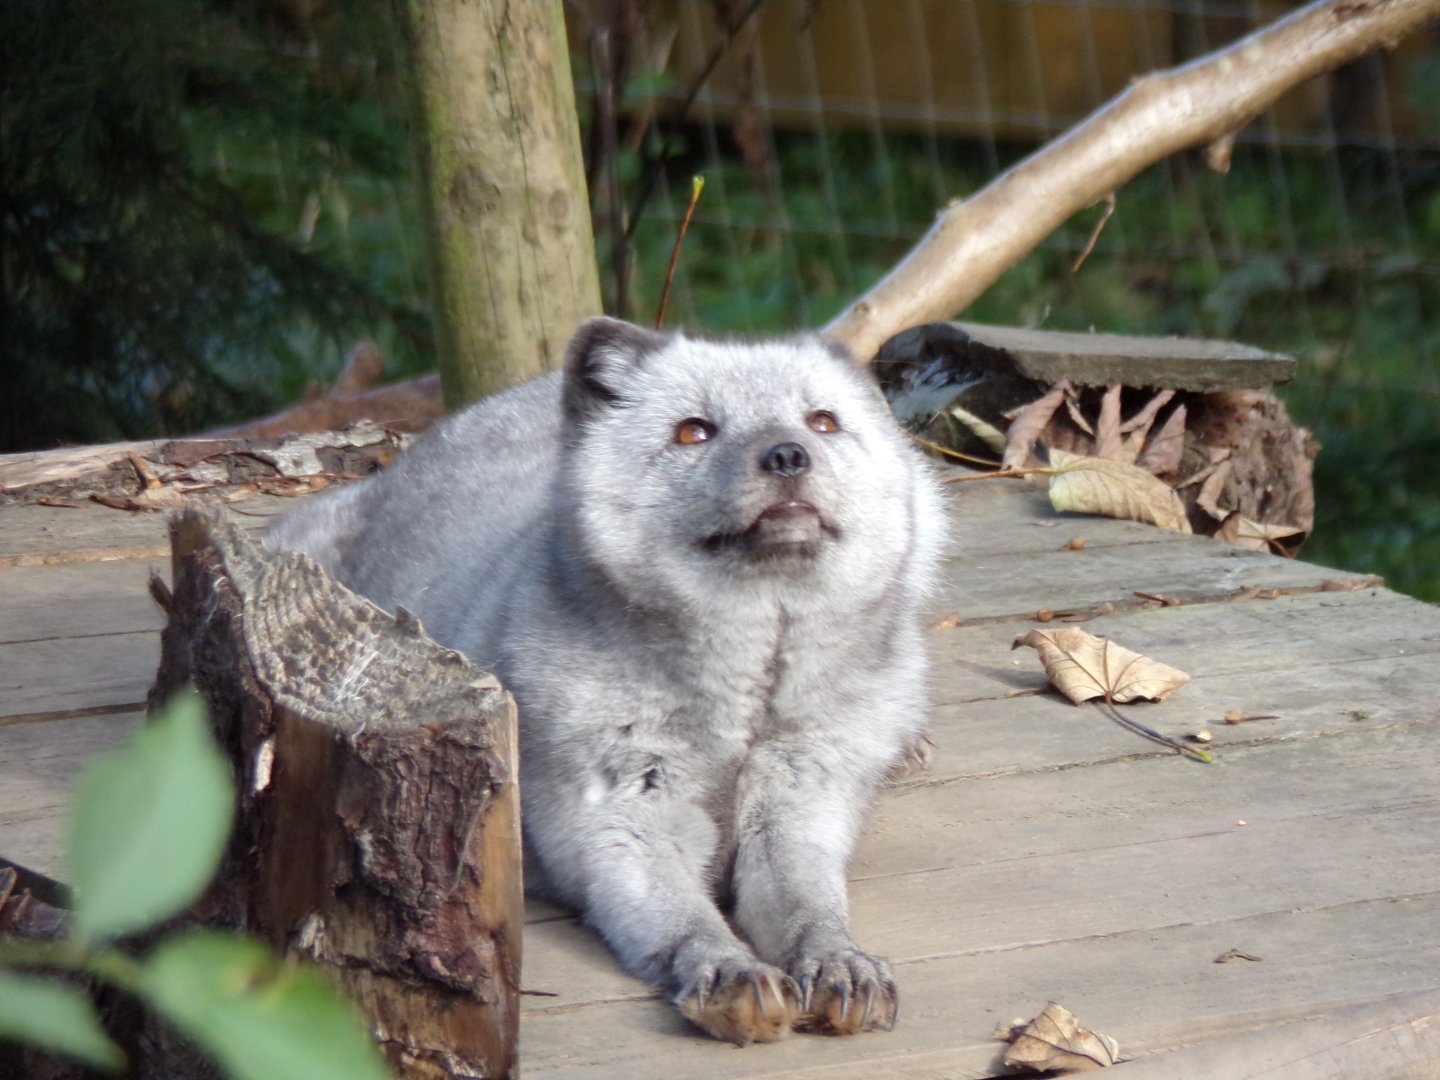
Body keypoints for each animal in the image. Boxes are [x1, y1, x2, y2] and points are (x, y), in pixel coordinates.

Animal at [266, 316, 945, 1044]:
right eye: (694, 432)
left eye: (821, 421)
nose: (788, 455)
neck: (745, 705)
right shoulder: (620, 820)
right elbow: (688, 920)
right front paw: (730, 974)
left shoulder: (801, 804)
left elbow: (808, 904)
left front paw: (839, 961)